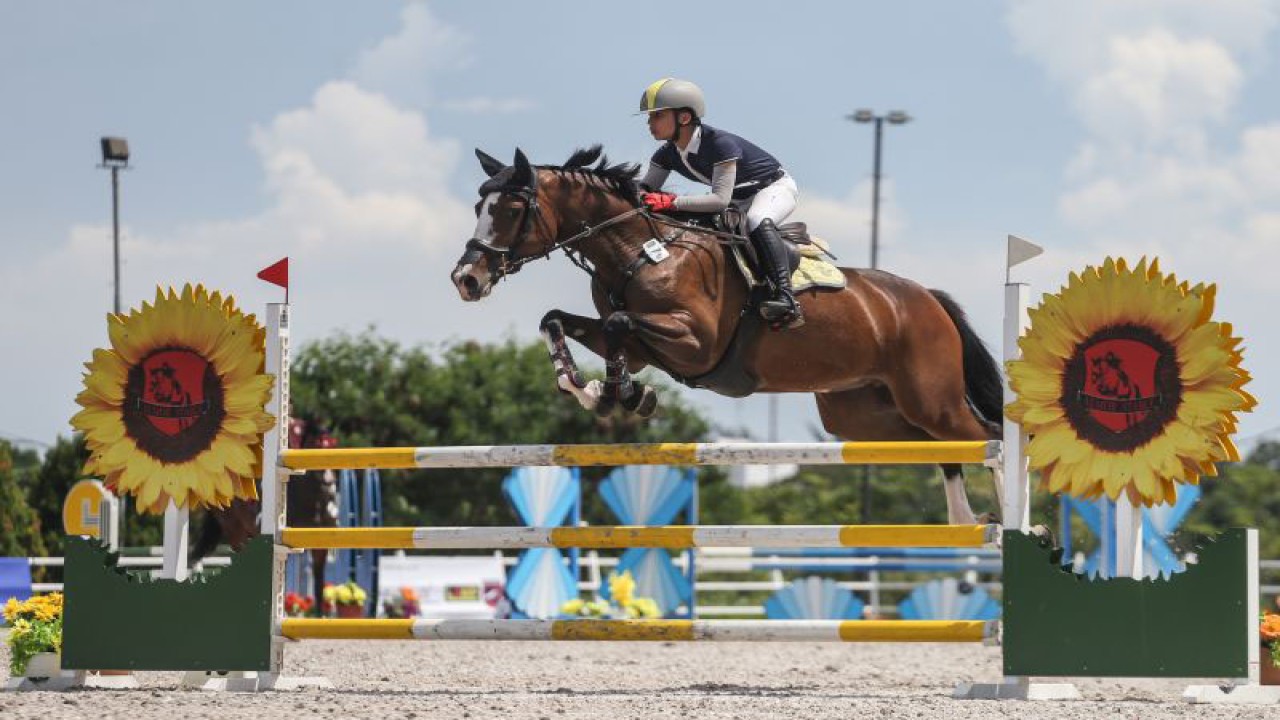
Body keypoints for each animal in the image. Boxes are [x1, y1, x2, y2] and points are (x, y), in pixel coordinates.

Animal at [450, 146, 1005, 525]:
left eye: (511, 210)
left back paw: (1009, 526)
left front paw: (622, 394)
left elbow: (617, 324)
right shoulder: (644, 347)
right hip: (863, 414)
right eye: (478, 207)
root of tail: (927, 298)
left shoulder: (695, 344)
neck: (639, 250)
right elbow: (562, 321)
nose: (466, 279)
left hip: (930, 398)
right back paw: (966, 523)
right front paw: (598, 390)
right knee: (942, 448)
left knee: (988, 437)